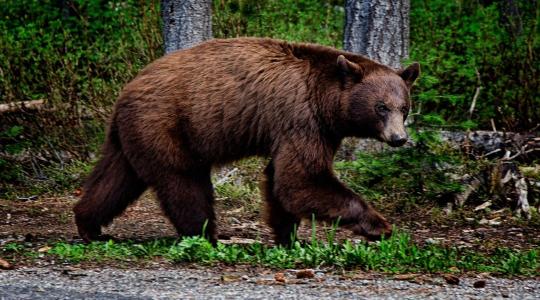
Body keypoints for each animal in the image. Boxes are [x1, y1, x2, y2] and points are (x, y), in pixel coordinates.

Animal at [73, 37, 418, 245]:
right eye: (381, 107)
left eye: (404, 108)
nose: (399, 138)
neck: (326, 99)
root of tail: (125, 91)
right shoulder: (301, 119)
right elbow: (302, 179)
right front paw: (380, 225)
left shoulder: (319, 129)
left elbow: (282, 181)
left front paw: (288, 237)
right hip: (165, 125)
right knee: (183, 182)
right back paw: (206, 236)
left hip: (131, 135)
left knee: (117, 178)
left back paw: (89, 225)